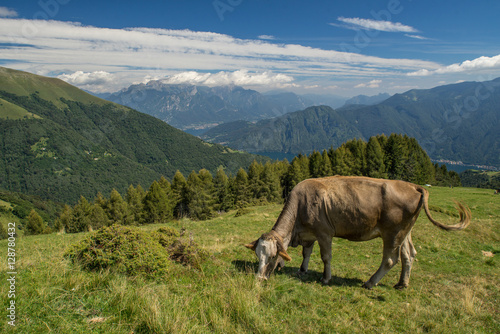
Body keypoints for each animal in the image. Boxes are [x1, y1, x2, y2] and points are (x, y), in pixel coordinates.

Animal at [244, 176, 470, 288]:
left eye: (273, 256)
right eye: (257, 256)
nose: (259, 279)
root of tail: (414, 186)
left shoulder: (324, 232)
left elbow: (325, 257)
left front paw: (326, 278)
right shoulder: (310, 233)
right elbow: (306, 253)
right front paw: (302, 270)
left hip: (392, 233)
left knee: (390, 259)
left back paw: (370, 282)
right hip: (405, 232)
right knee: (409, 255)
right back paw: (401, 284)